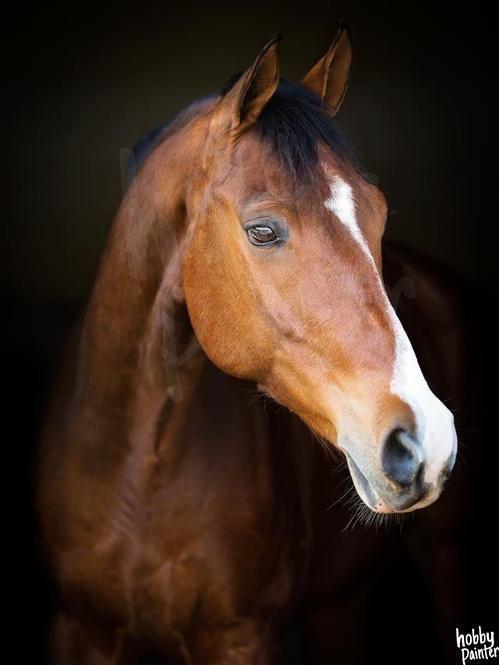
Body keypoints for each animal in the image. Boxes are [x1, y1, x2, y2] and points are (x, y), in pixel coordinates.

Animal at [39, 27, 460, 664]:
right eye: (263, 230)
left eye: (380, 215)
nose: (426, 443)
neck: (140, 469)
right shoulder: (79, 629)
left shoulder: (244, 637)